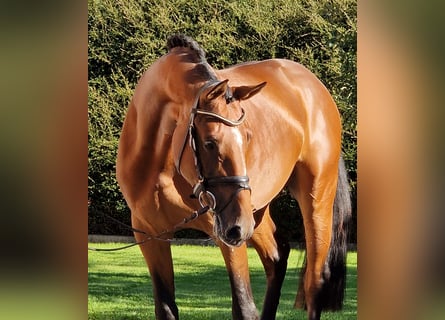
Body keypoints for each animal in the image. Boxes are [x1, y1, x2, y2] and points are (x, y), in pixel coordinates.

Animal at [115, 35, 350, 320]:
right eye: (209, 142)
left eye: (247, 138)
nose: (239, 227)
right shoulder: (150, 235)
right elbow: (166, 308)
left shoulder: (228, 236)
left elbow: (244, 306)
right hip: (254, 212)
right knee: (276, 256)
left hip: (309, 200)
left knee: (314, 280)